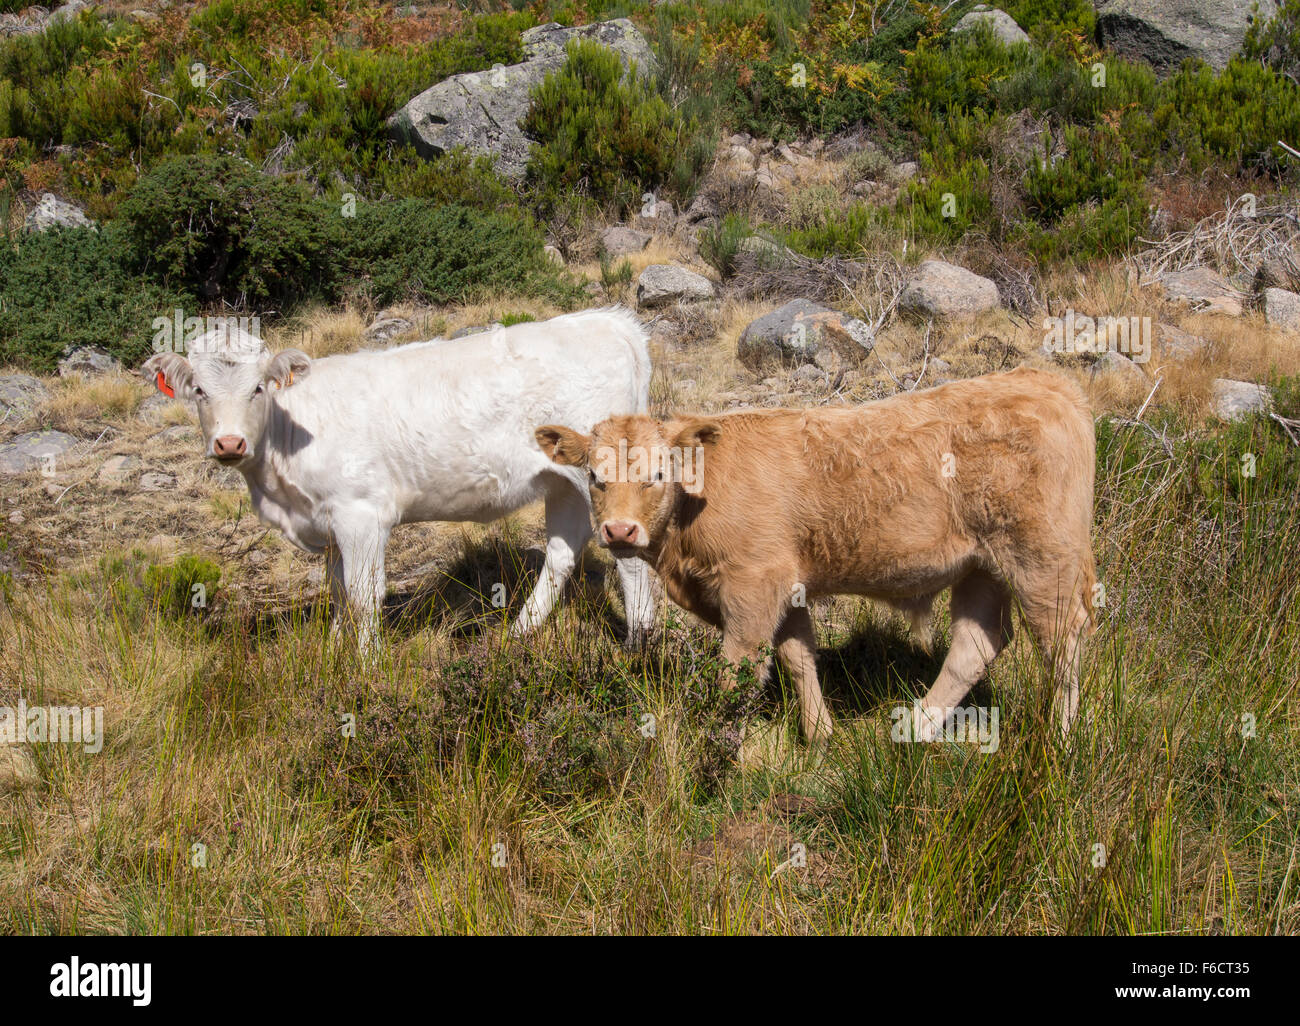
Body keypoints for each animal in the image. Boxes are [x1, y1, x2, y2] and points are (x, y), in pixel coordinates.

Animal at [141, 309, 657, 650]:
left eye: (258, 388)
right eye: (199, 391)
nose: (229, 443)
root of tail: (607, 321)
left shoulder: (361, 514)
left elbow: (365, 595)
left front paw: (366, 667)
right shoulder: (328, 524)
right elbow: (339, 593)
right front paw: (335, 651)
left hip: (606, 473)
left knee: (630, 559)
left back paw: (639, 647)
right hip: (564, 482)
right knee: (563, 550)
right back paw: (518, 634)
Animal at [536, 366, 1097, 744]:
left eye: (657, 473)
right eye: (594, 475)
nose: (619, 530)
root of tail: (1046, 380)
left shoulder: (752, 587)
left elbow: (738, 669)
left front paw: (718, 744)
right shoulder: (786, 585)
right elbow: (798, 657)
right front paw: (820, 734)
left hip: (1044, 560)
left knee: (1063, 642)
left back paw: (1062, 739)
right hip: (984, 566)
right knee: (977, 643)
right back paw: (916, 726)